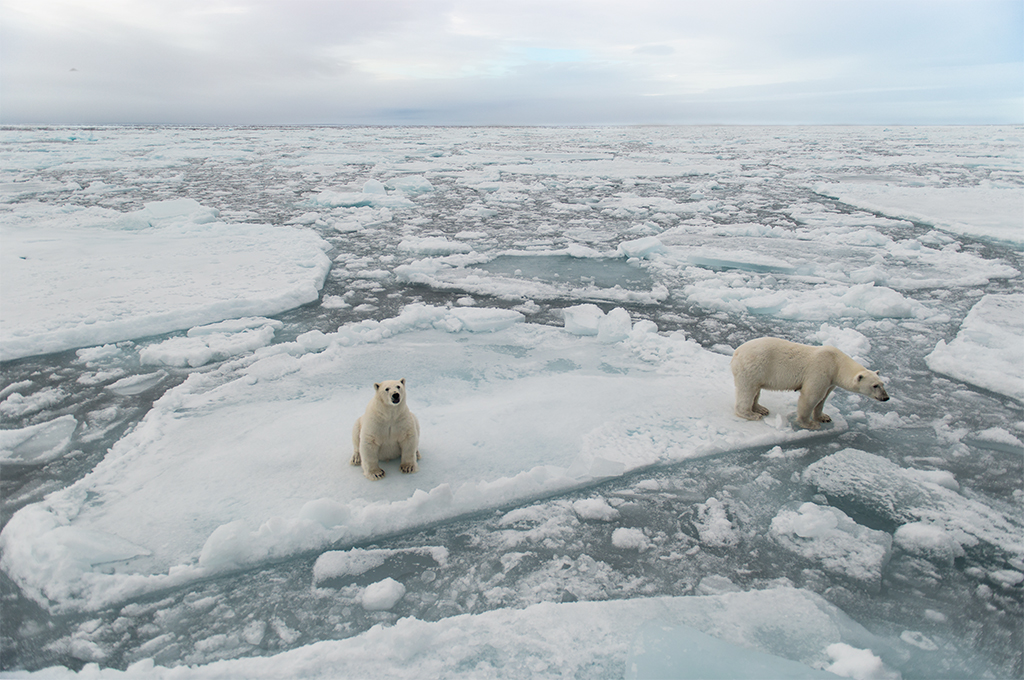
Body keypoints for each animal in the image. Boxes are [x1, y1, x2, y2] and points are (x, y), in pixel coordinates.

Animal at [729, 335, 888, 430]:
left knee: (756, 391)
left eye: (883, 384)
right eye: (875, 386)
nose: (886, 397)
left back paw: (760, 408)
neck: (836, 363)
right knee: (748, 391)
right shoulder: (820, 371)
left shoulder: (830, 381)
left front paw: (824, 417)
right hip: (754, 367)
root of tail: (736, 352)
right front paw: (811, 423)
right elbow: (811, 396)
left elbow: (823, 399)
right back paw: (751, 414)